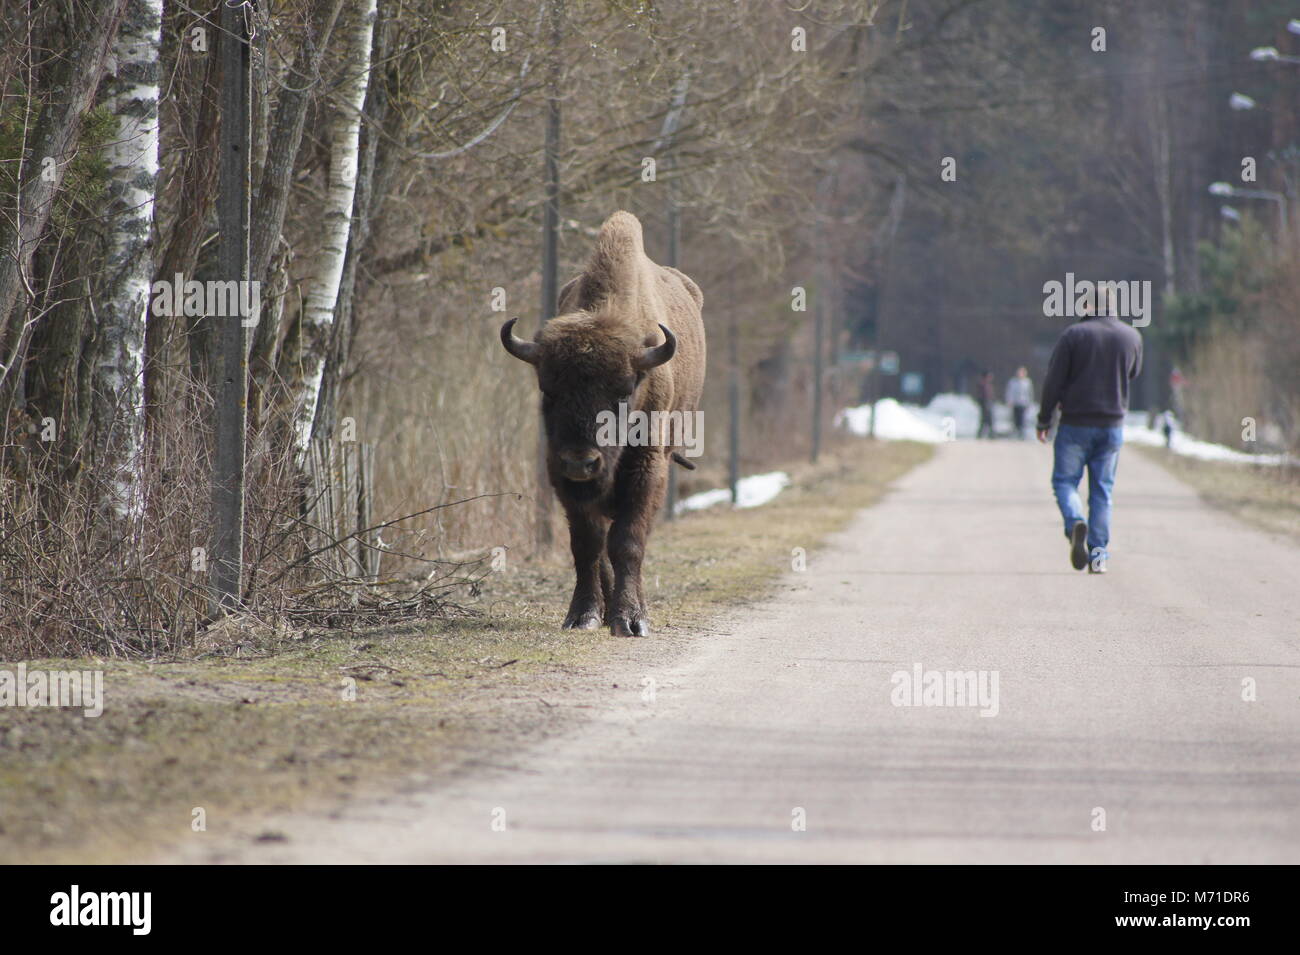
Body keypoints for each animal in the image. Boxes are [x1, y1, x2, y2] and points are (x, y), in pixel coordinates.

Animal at [499, 213, 707, 639]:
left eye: (625, 391)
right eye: (548, 389)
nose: (581, 462)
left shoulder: (647, 466)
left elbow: (627, 541)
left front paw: (630, 620)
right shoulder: (560, 474)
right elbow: (588, 544)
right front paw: (584, 615)